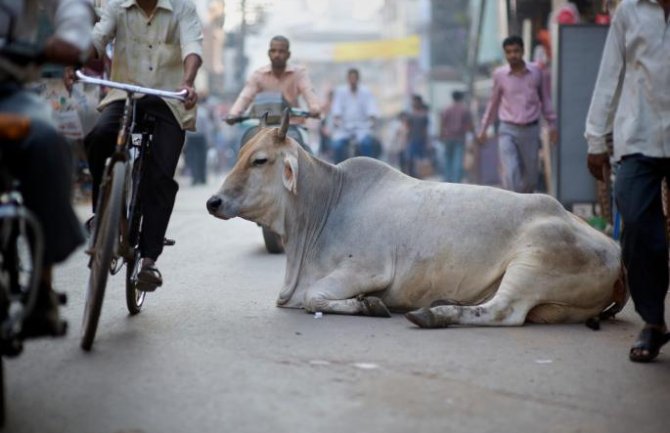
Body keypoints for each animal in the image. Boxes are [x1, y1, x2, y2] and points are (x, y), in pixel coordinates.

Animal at [206, 111, 632, 328]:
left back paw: (435, 313)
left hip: (534, 263)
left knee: (504, 312)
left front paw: (370, 305)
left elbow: (315, 297)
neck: (323, 207)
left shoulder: (369, 269)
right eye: (241, 153)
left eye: (260, 160)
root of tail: (615, 251)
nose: (213, 201)